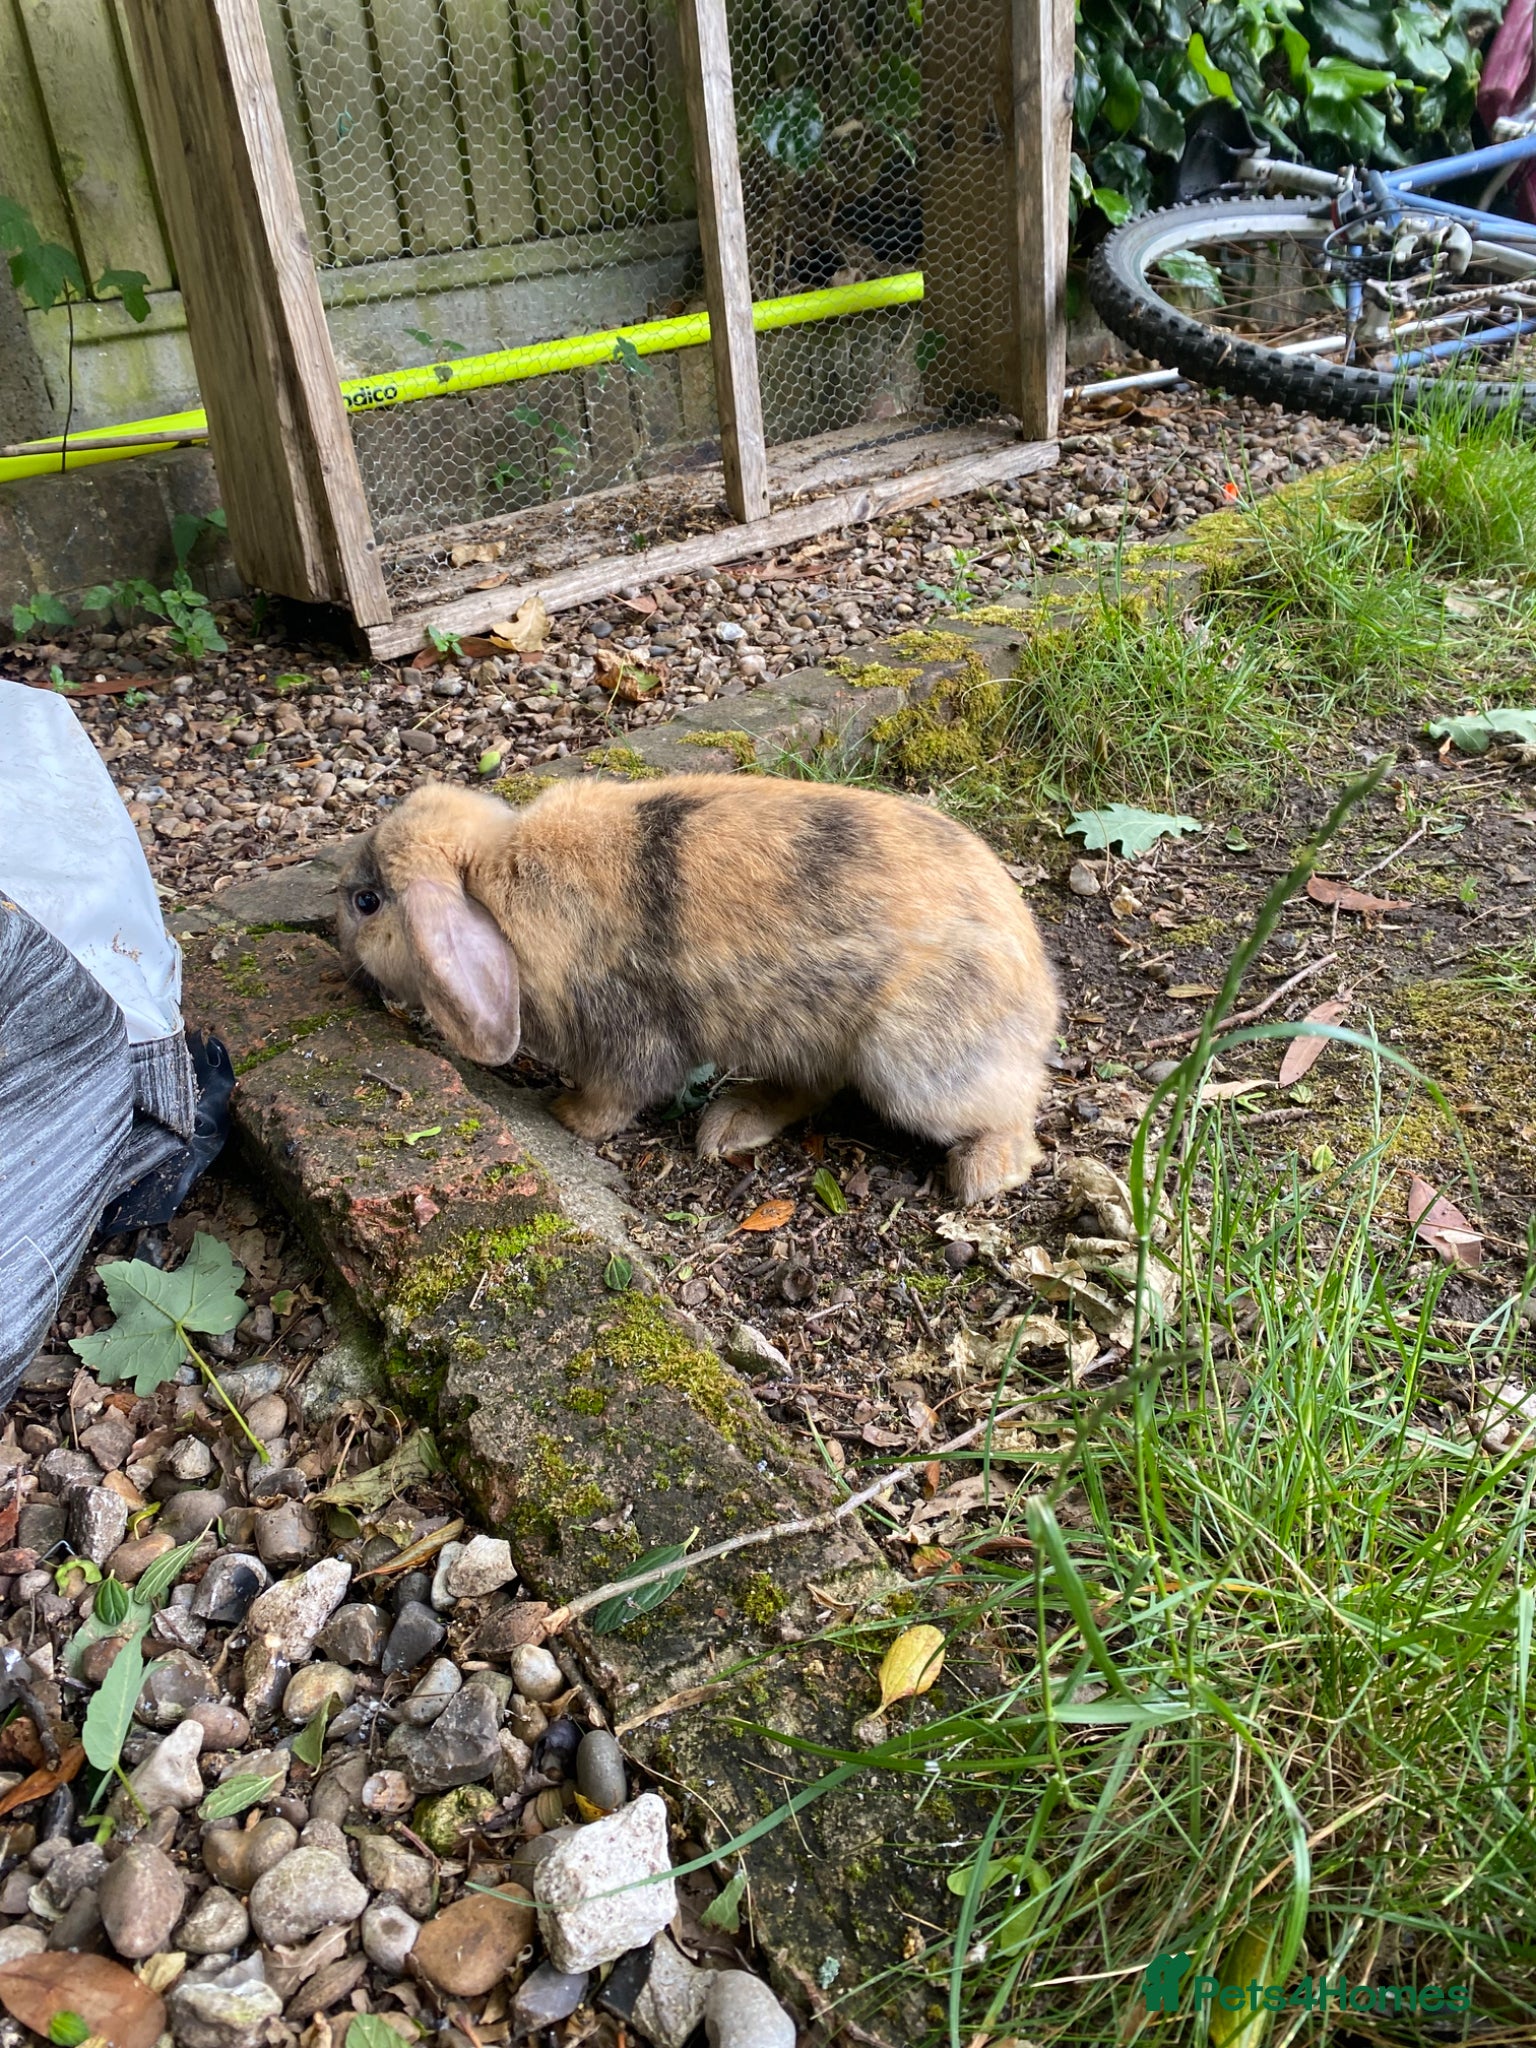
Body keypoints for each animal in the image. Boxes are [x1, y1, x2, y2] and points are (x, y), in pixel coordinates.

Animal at [336, 775, 1058, 1204]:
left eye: (368, 902)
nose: (338, 931)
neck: (493, 884)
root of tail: (1040, 998)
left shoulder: (624, 1028)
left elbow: (617, 1093)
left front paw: (565, 1117)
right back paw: (730, 1127)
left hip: (912, 1065)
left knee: (1012, 1117)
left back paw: (982, 1176)